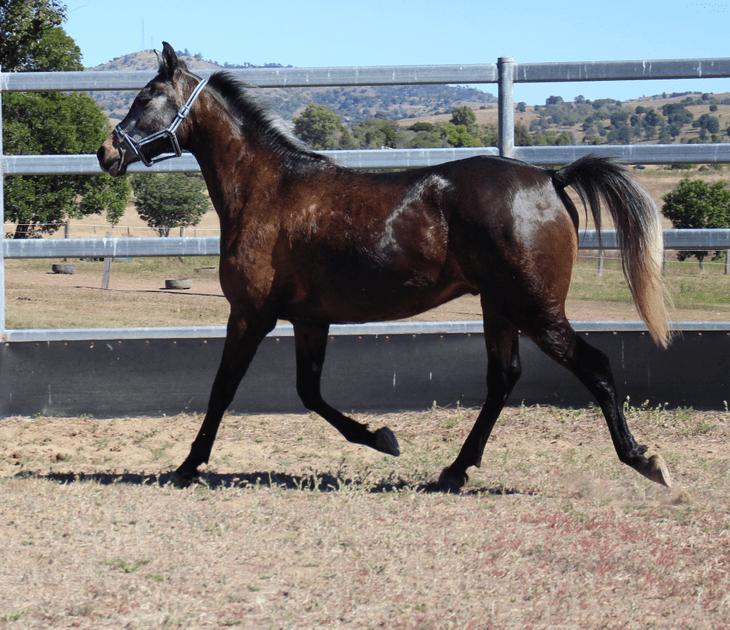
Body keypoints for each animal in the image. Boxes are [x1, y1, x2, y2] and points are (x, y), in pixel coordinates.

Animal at [98, 43, 673, 490]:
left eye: (145, 97)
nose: (107, 152)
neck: (268, 190)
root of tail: (552, 178)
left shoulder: (250, 314)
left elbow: (223, 389)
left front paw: (187, 465)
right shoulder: (309, 320)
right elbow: (309, 392)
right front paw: (381, 437)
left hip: (536, 308)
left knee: (594, 366)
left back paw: (644, 460)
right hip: (500, 308)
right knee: (503, 378)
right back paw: (455, 470)